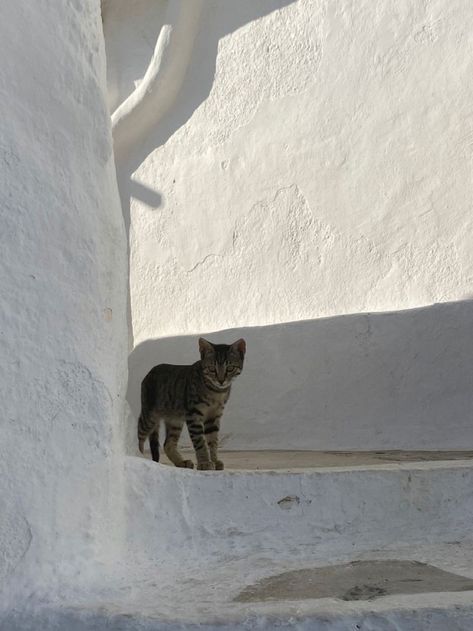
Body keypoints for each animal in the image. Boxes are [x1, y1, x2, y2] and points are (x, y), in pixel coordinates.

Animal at [136, 340, 245, 470]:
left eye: (230, 368)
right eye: (212, 369)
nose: (221, 380)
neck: (216, 392)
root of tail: (150, 372)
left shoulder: (214, 417)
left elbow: (213, 441)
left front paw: (214, 460)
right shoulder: (194, 414)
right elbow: (200, 441)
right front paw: (204, 462)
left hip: (175, 420)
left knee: (168, 444)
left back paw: (181, 462)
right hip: (150, 416)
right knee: (139, 433)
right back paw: (138, 455)